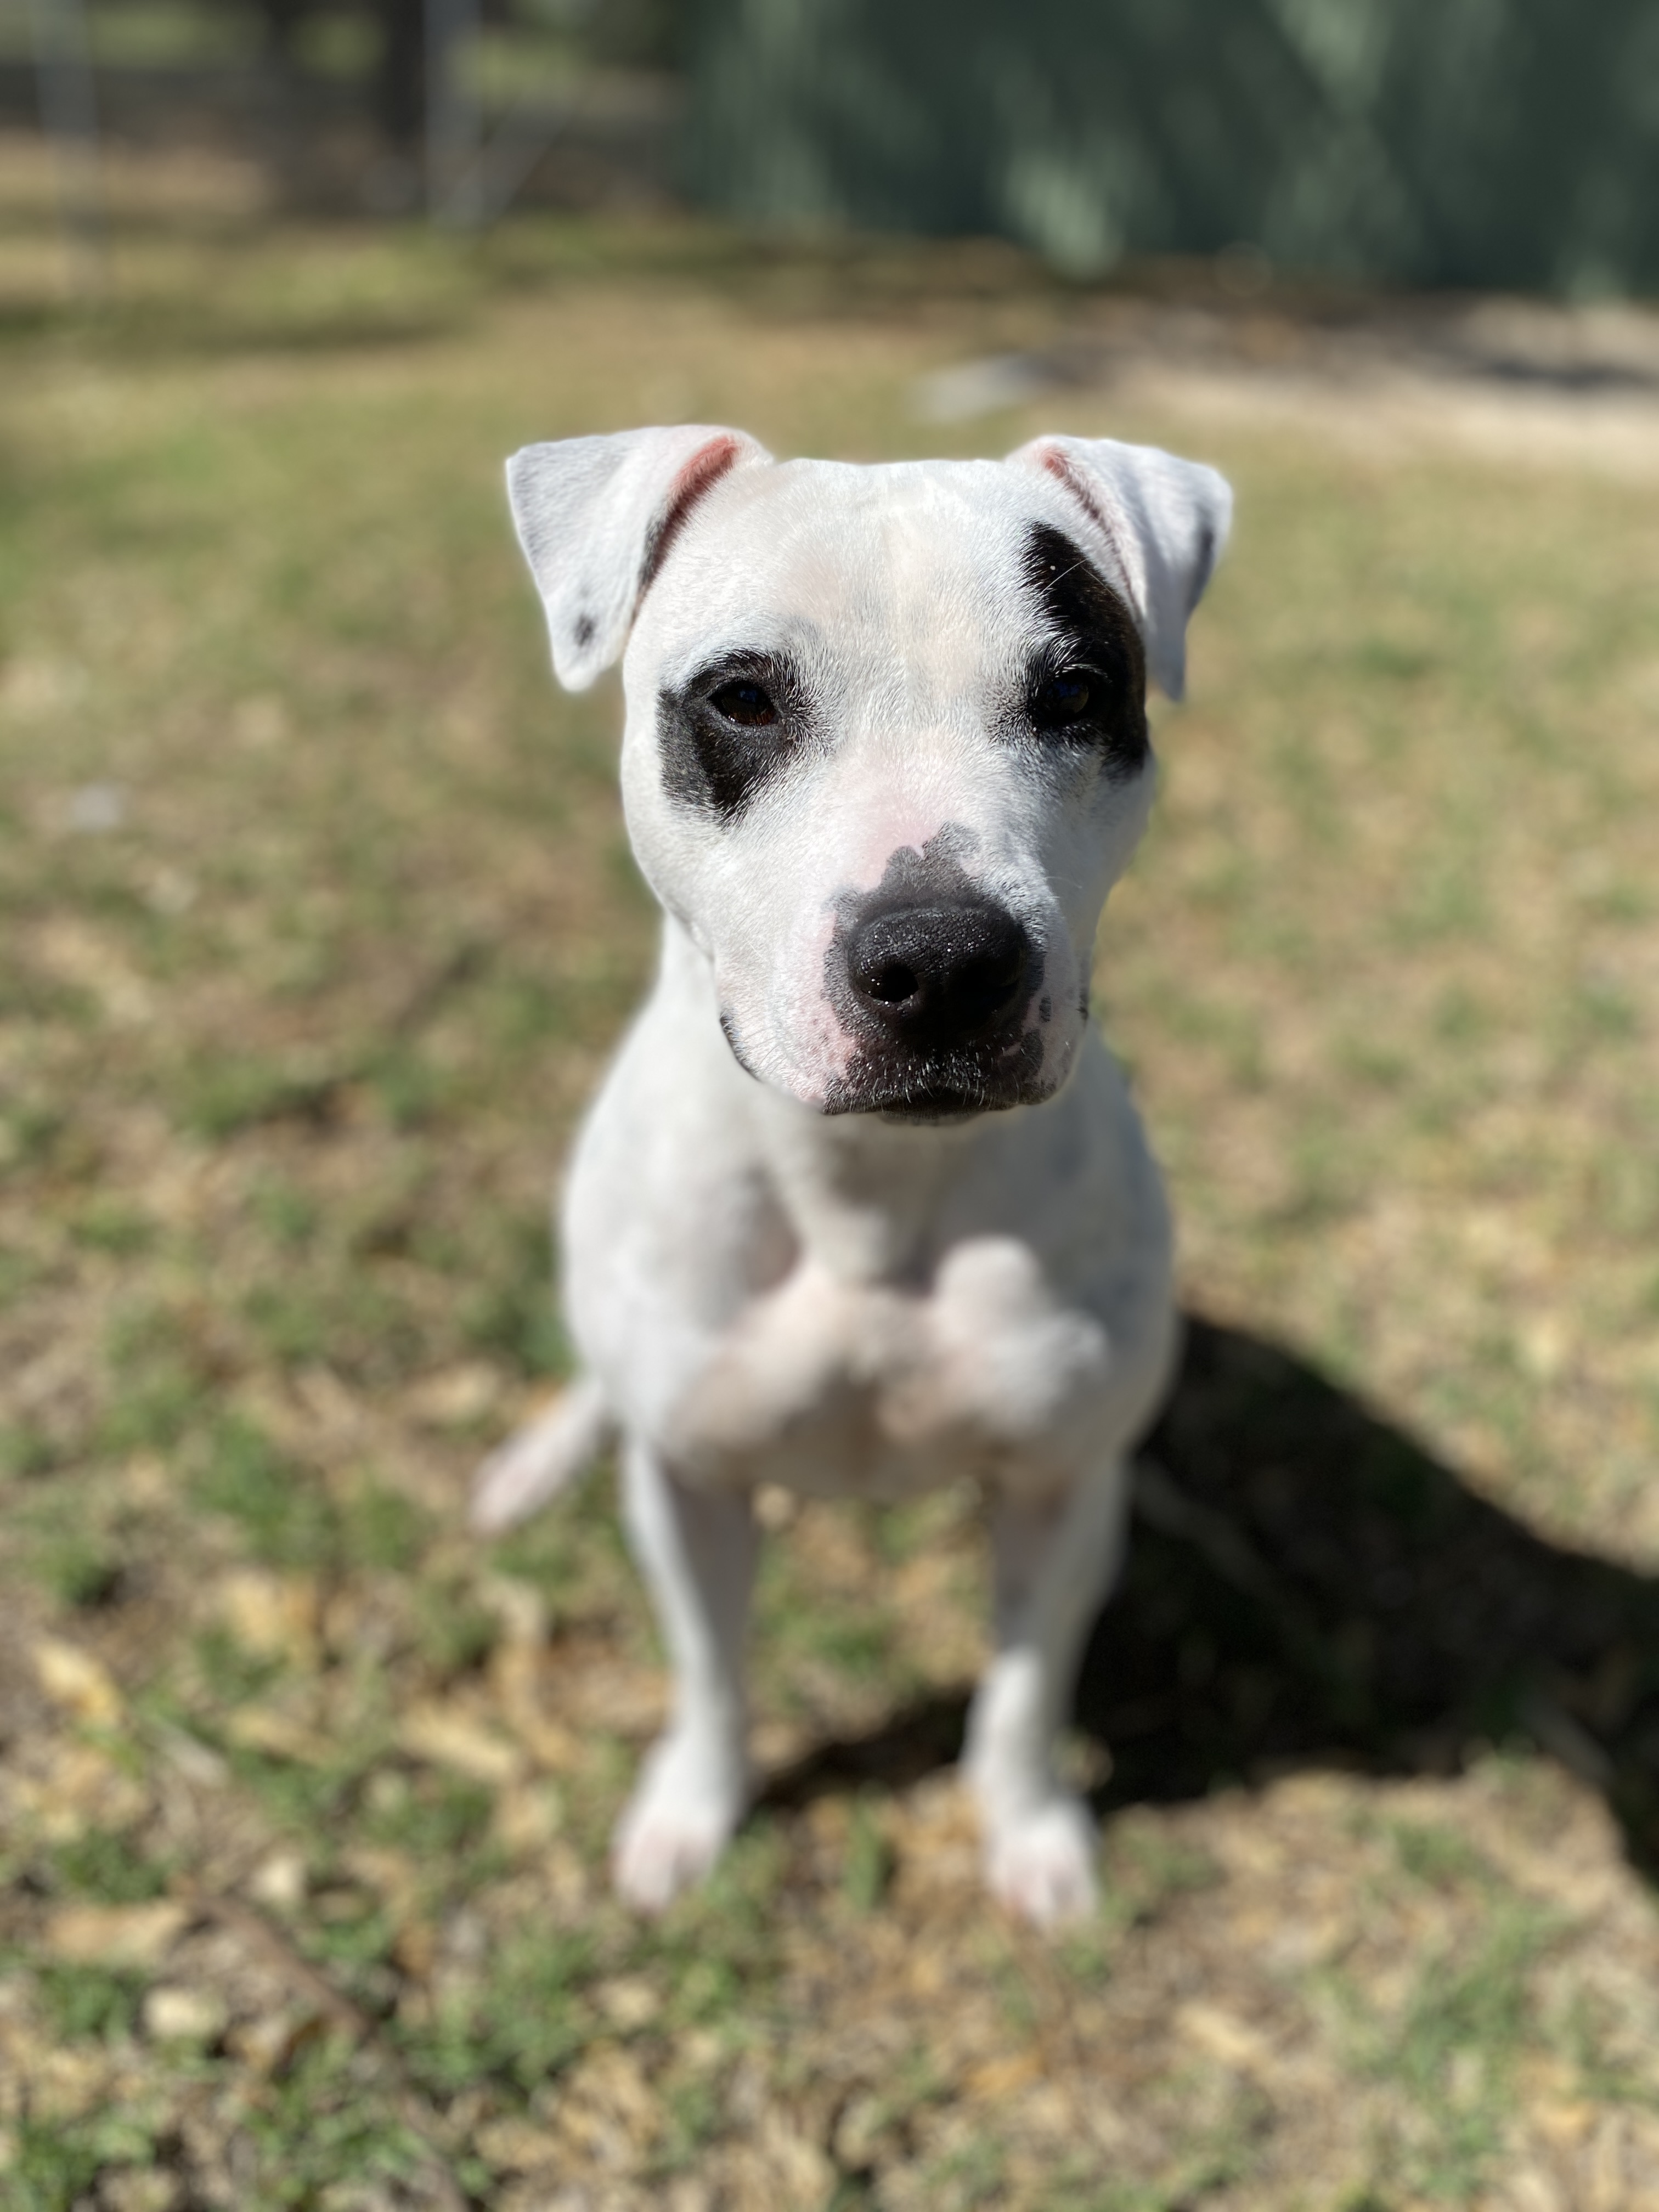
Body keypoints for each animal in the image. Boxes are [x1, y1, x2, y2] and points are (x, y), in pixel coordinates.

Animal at [473, 422, 1229, 1928]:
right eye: (745, 699)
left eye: (1077, 693)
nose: (943, 961)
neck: (869, 1189)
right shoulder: (691, 1481)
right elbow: (711, 1671)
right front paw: (692, 1814)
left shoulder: (1057, 1492)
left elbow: (1024, 1689)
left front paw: (1030, 1831)